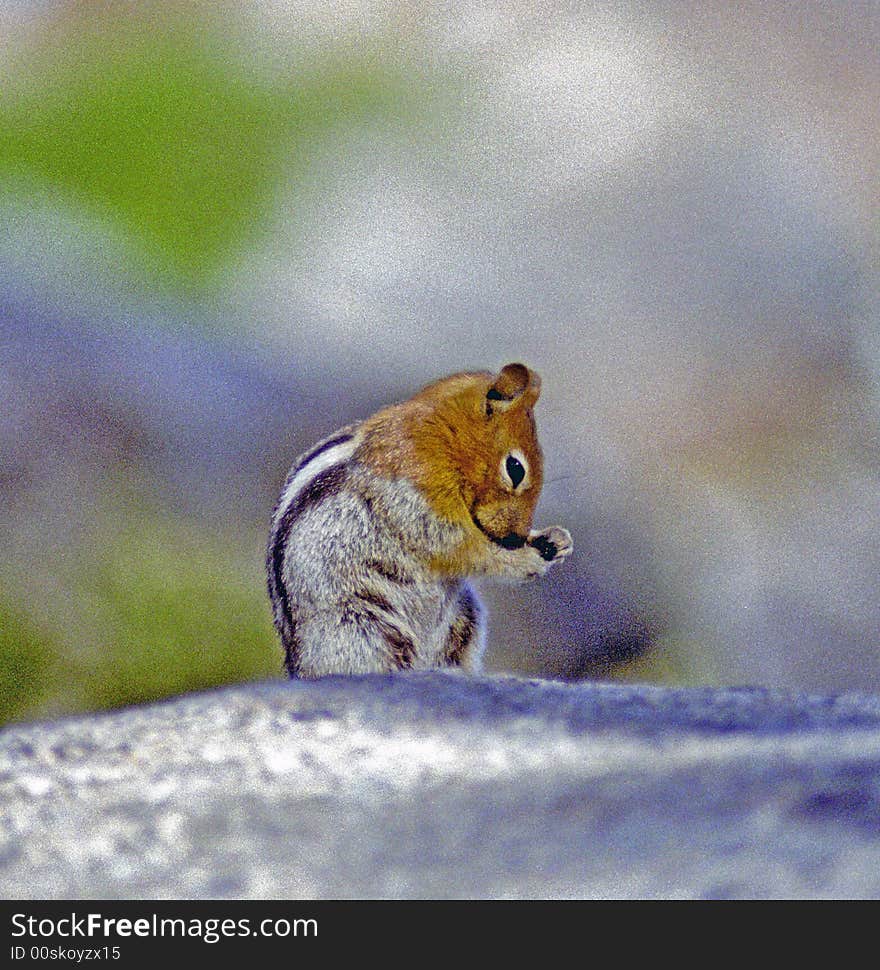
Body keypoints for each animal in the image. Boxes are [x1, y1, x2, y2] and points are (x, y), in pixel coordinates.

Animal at [264, 362, 576, 672]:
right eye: (515, 468)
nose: (516, 537)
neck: (445, 437)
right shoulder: (423, 504)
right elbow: (467, 550)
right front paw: (526, 561)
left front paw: (557, 539)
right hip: (360, 629)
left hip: (465, 618)